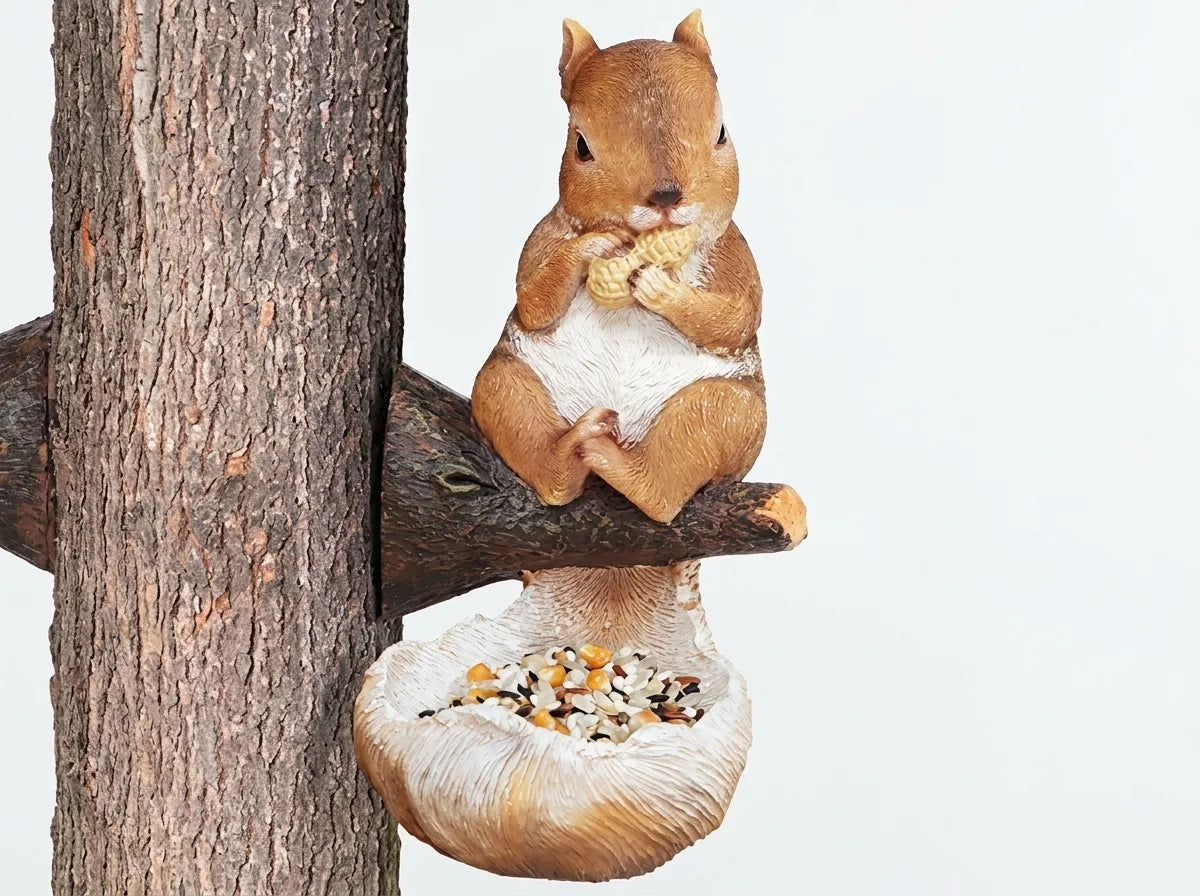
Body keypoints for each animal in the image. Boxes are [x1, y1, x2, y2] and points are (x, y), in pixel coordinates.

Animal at [472, 10, 765, 524]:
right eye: (581, 145)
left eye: (722, 133)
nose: (666, 196)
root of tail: (624, 435)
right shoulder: (543, 238)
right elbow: (533, 301)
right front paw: (593, 247)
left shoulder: (734, 257)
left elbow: (736, 318)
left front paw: (660, 288)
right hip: (507, 383)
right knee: (525, 431)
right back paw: (572, 452)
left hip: (727, 414)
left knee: (665, 486)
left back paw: (615, 461)